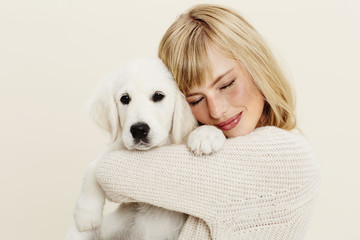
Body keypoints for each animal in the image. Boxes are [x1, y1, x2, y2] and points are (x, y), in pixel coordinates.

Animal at [67, 58, 225, 240]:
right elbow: (93, 166)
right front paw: (86, 214)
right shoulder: (117, 147)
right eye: (124, 98)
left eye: (158, 96)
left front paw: (207, 134)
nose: (138, 130)